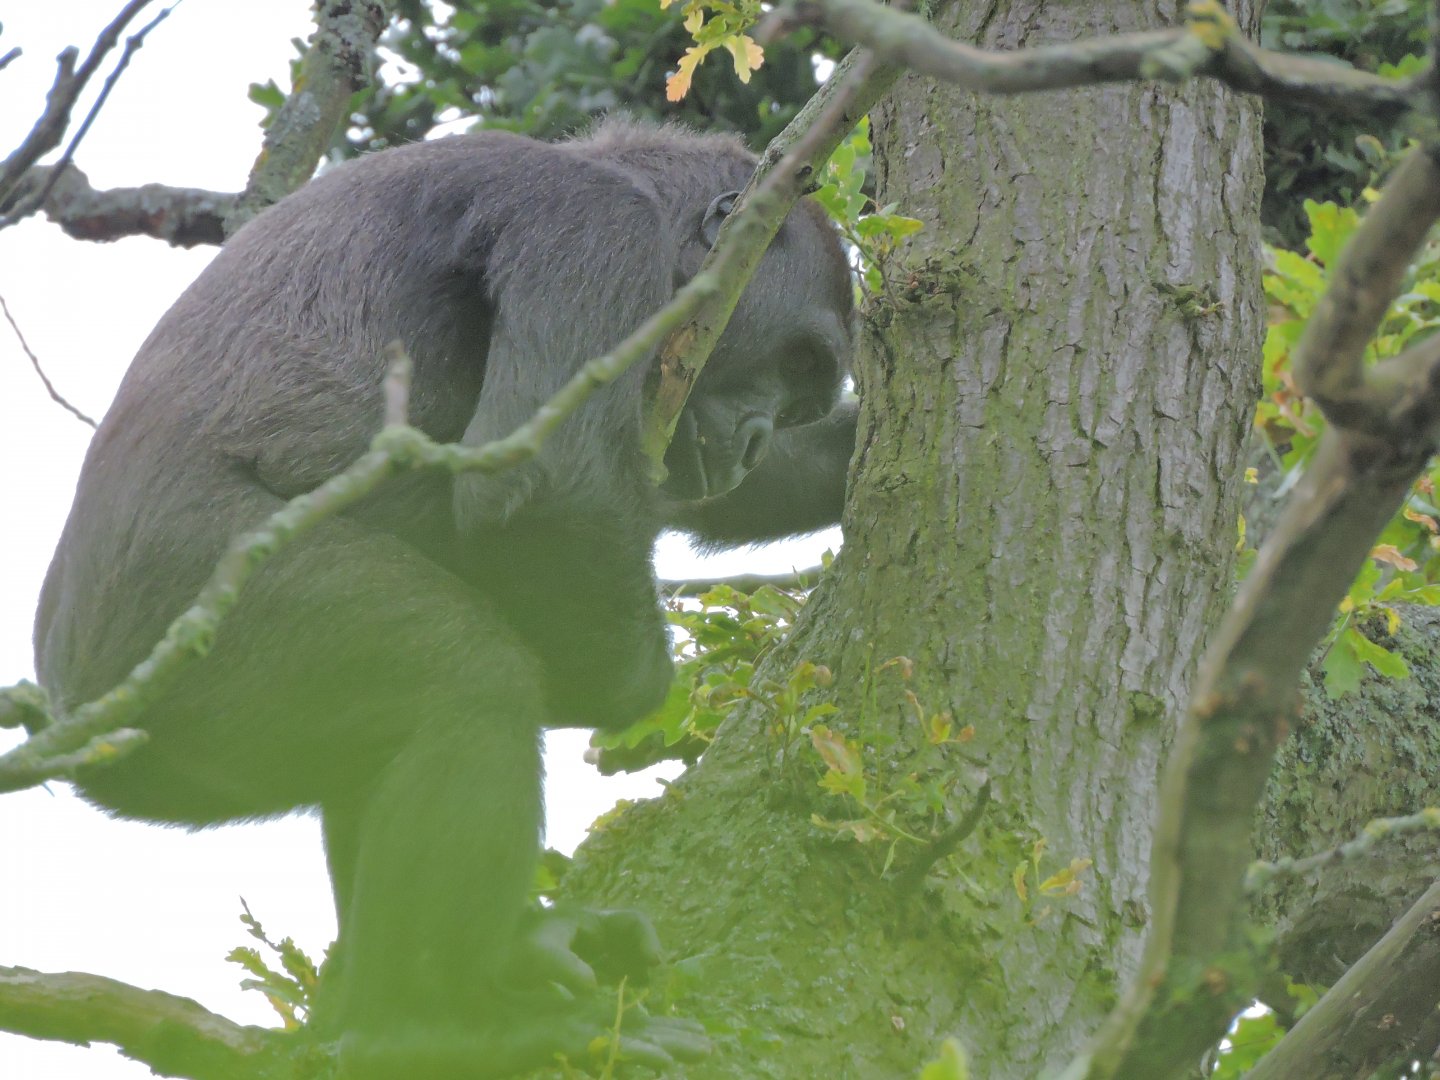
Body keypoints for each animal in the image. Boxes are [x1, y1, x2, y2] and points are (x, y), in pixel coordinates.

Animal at [34, 118, 855, 1076]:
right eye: (795, 359)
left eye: (803, 399)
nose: (760, 435)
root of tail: (68, 721)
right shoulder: (594, 229)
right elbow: (547, 495)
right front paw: (625, 685)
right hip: (187, 628)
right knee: (465, 678)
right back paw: (434, 1020)